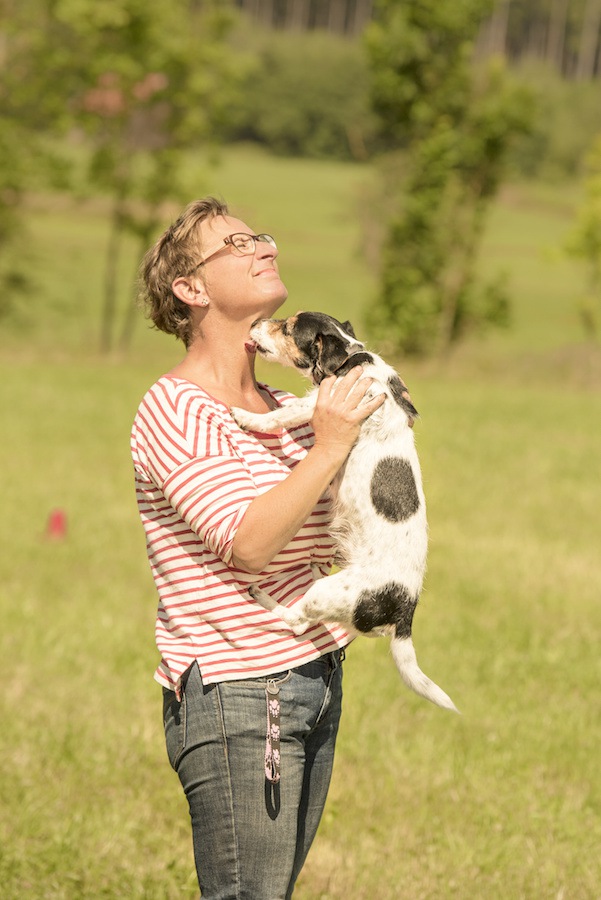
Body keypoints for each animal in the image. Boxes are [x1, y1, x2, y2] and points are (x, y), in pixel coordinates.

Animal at [232, 312, 458, 712]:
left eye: (287, 327)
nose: (256, 323)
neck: (350, 358)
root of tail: (405, 613)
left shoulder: (318, 405)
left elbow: (278, 417)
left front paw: (245, 416)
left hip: (329, 592)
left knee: (296, 620)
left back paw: (262, 596)